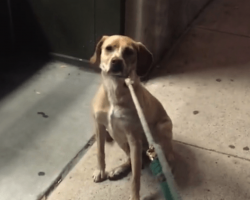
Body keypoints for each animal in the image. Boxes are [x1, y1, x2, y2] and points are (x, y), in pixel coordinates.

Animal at [89, 35, 174, 199]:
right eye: (108, 48)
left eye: (129, 51)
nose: (116, 61)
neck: (115, 89)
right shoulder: (100, 126)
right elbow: (100, 152)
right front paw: (100, 171)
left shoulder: (134, 138)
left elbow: (135, 178)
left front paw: (134, 197)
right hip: (118, 137)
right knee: (132, 160)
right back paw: (120, 169)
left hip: (162, 129)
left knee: (167, 158)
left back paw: (165, 173)